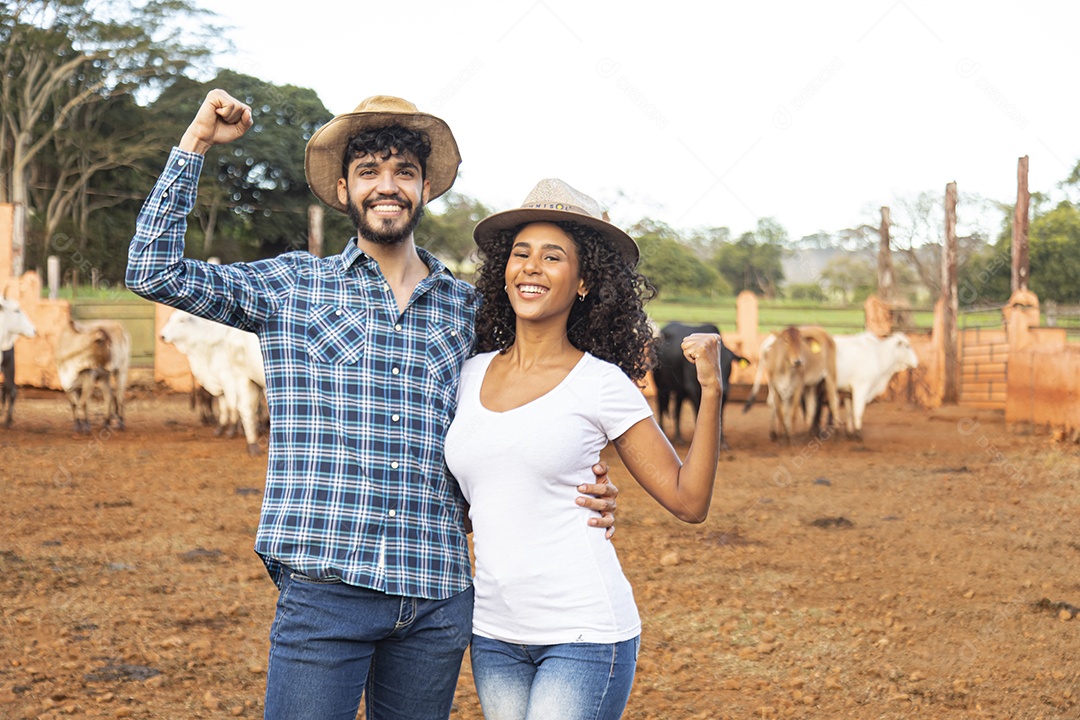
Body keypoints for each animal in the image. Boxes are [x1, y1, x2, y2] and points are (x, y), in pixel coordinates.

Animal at [162, 310, 267, 455]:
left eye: (181, 320)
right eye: (169, 319)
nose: (162, 336)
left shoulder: (227, 378)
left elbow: (231, 405)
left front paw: (232, 429)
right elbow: (224, 404)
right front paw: (222, 428)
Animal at [648, 321, 751, 451]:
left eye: (730, 364)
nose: (726, 387)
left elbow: (720, 416)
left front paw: (722, 442)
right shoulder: (692, 389)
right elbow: (698, 413)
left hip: (680, 390)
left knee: (677, 410)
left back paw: (678, 437)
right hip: (661, 386)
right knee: (661, 406)